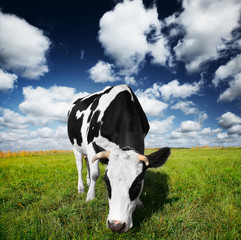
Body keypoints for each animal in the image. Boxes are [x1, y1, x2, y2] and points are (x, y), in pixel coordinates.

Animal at [67, 84, 170, 232]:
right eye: (107, 181)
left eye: (138, 184)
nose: (116, 225)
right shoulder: (92, 144)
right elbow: (95, 174)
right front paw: (90, 196)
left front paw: (139, 202)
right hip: (76, 146)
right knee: (80, 165)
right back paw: (81, 188)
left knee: (87, 162)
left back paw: (87, 182)